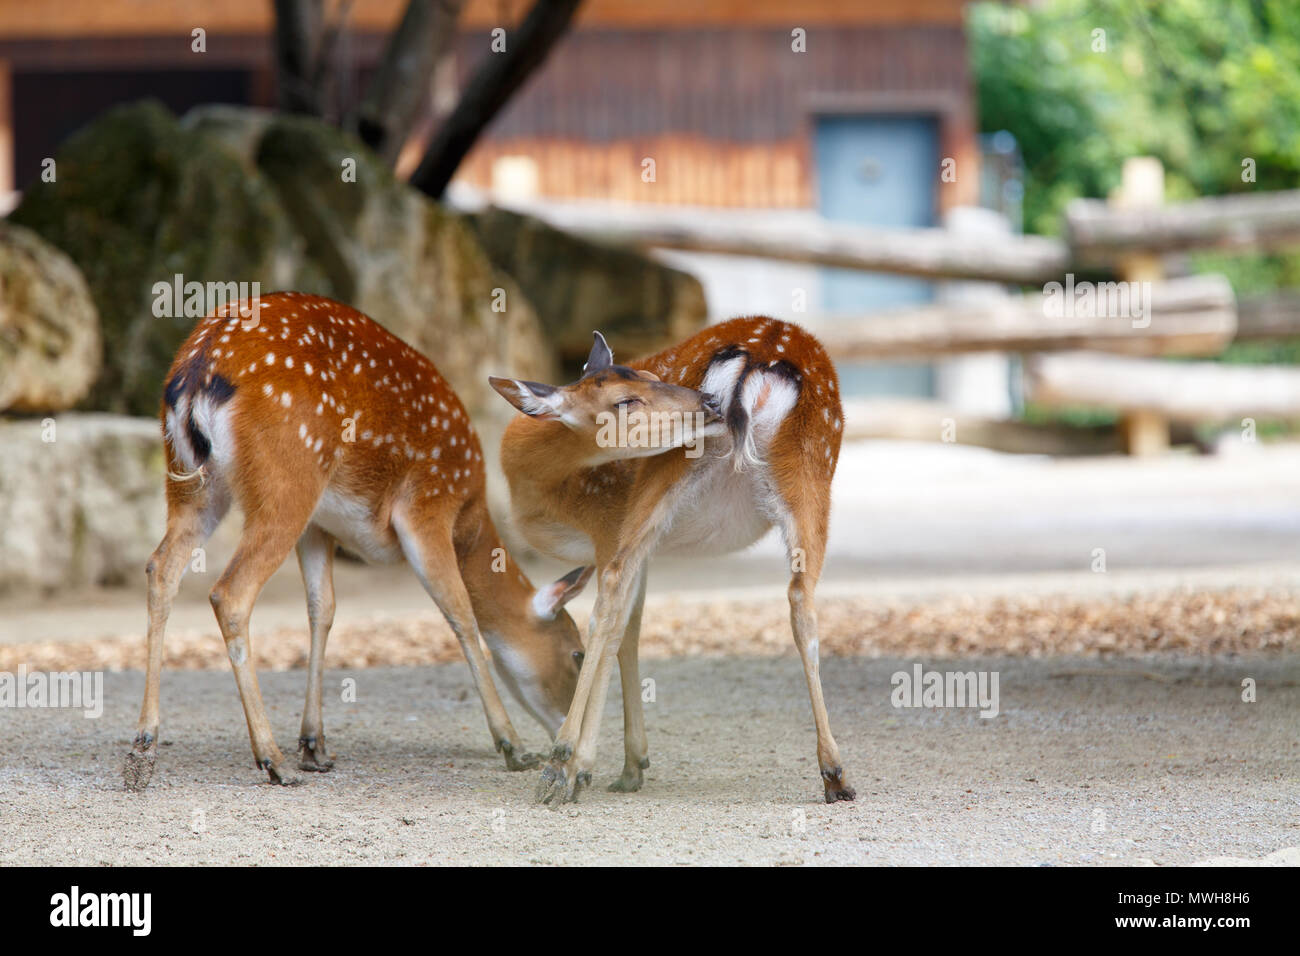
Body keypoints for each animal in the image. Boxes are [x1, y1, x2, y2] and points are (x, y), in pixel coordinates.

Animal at [120, 291, 590, 790]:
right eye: (576, 652)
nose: (564, 731)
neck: (470, 517)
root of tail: (196, 372)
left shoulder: (320, 527)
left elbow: (322, 609)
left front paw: (315, 745)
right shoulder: (427, 506)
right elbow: (460, 612)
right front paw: (513, 746)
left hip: (192, 482)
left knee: (161, 567)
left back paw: (143, 750)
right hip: (287, 478)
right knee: (229, 592)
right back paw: (271, 758)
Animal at [488, 317, 852, 806]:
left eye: (652, 378)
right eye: (625, 399)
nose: (708, 402)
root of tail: (759, 358)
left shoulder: (606, 523)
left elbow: (618, 629)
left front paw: (590, 769)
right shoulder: (639, 547)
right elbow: (631, 630)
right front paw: (628, 765)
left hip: (673, 475)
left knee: (609, 602)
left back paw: (559, 768)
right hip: (808, 473)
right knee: (801, 602)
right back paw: (835, 774)